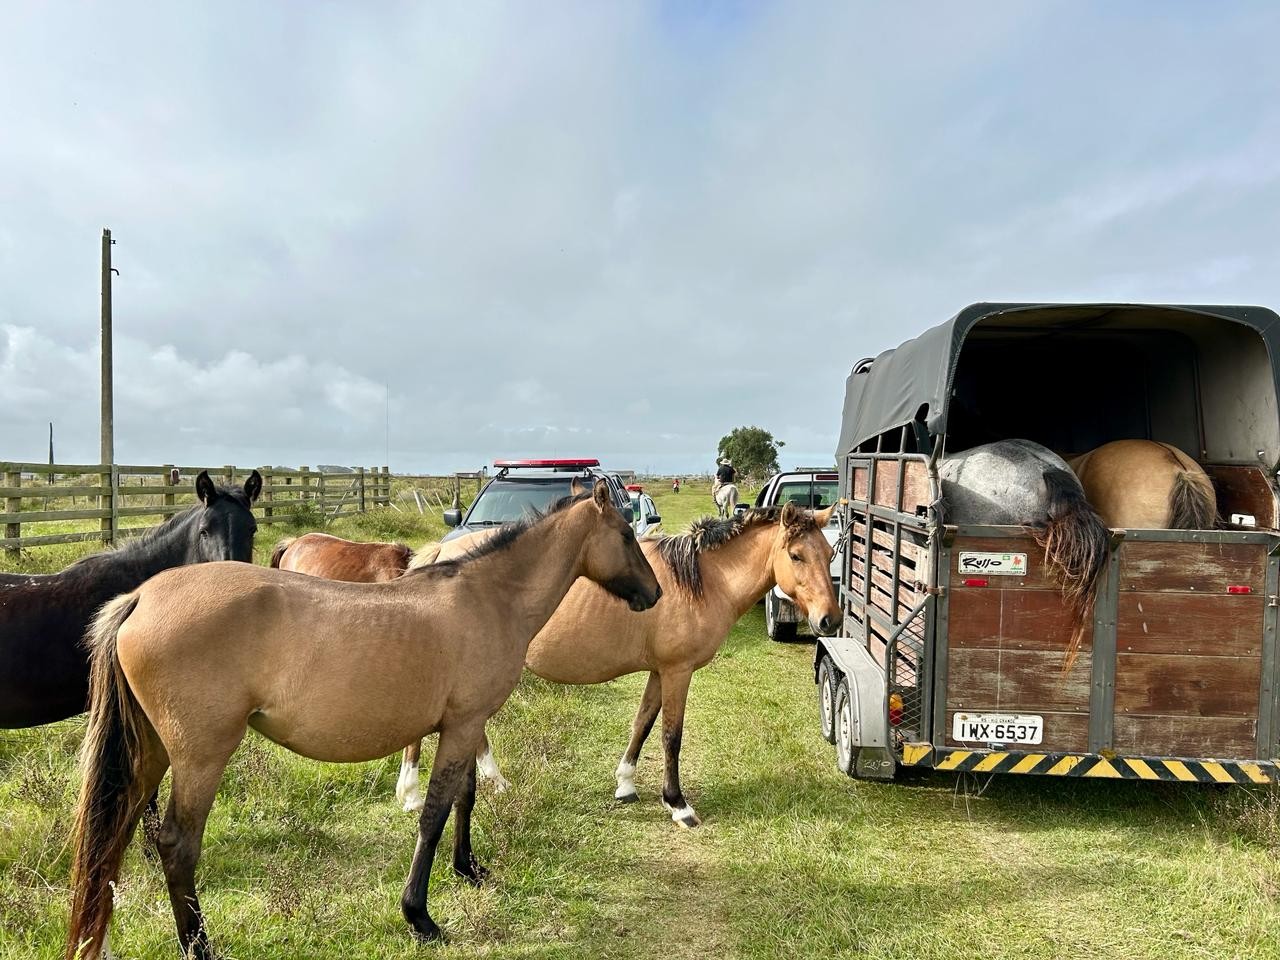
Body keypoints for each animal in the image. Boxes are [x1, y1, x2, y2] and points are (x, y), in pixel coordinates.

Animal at [399, 504, 839, 829]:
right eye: (796, 556)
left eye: (830, 554)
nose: (829, 620)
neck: (703, 580)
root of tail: (440, 554)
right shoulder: (678, 672)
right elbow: (671, 737)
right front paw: (678, 804)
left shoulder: (660, 672)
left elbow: (642, 724)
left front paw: (626, 784)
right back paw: (412, 793)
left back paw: (494, 780)